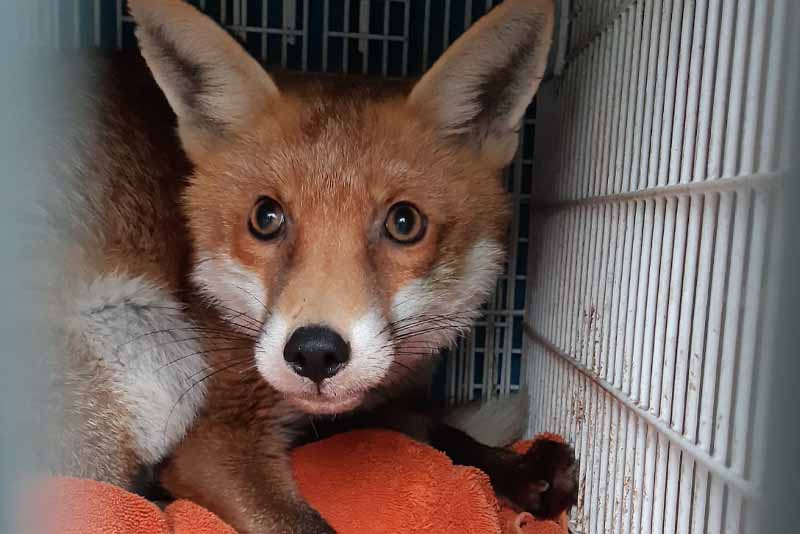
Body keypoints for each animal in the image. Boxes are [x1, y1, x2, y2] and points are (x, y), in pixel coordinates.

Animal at [46, 0, 578, 532]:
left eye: (405, 222)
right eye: (265, 218)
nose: (316, 353)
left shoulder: (372, 395)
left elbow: (430, 428)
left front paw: (513, 467)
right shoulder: (211, 440)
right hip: (148, 347)